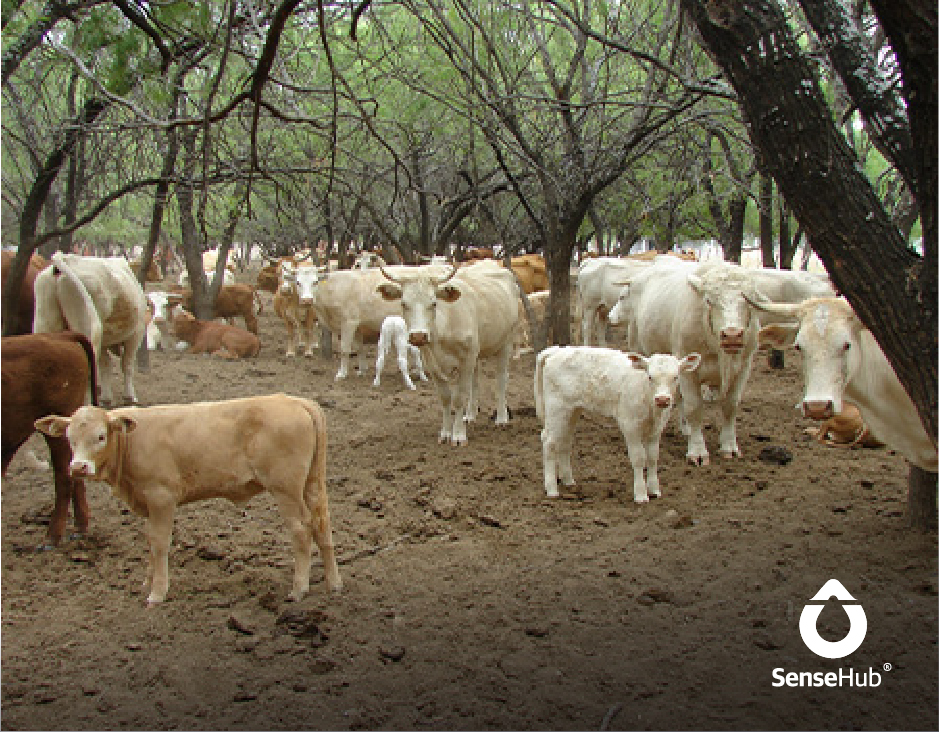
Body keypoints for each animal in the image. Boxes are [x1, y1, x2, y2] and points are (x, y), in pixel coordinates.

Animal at [32, 253, 149, 406]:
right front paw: (129, 397)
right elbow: (127, 364)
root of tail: (67, 259)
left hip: (45, 322)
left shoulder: (105, 341)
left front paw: (106, 398)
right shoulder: (136, 333)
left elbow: (105, 365)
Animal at [37, 394, 346, 608]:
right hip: (312, 483)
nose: (78, 467)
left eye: (100, 436)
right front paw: (147, 582)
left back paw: (299, 588)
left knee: (301, 530)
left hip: (286, 489)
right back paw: (333, 583)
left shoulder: (162, 498)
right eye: (69, 438)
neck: (131, 441)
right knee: (322, 525)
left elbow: (160, 544)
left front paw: (157, 592)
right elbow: (150, 542)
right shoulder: (148, 502)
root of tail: (297, 402)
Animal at [376, 264, 520, 446]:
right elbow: (445, 398)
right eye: (403, 303)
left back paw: (501, 418)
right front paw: (445, 433)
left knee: (501, 380)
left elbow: (459, 397)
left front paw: (458, 435)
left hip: (505, 343)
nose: (418, 336)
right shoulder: (433, 363)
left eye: (433, 303)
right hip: (476, 353)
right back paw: (470, 415)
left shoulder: (466, 360)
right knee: (475, 381)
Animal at [532, 348, 700, 504]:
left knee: (564, 441)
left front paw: (654, 490)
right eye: (650, 377)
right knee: (549, 442)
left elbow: (653, 458)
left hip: (572, 410)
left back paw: (568, 481)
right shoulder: (630, 425)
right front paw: (641, 494)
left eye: (676, 377)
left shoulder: (657, 429)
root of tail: (558, 350)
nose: (663, 399)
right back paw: (552, 489)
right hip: (557, 408)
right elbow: (639, 458)